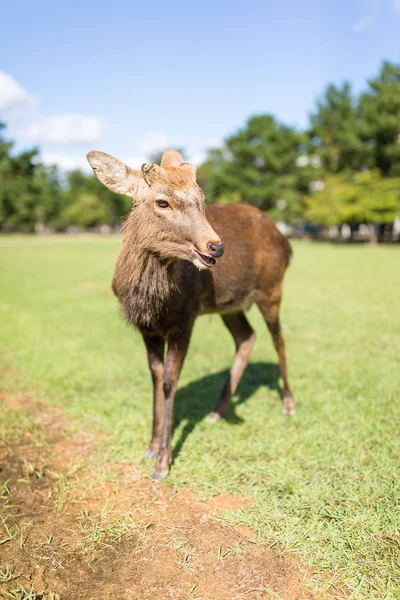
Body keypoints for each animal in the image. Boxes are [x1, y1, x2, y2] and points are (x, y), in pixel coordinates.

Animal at [86, 148, 294, 480]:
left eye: (202, 199)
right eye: (162, 201)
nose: (216, 246)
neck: (152, 301)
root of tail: (287, 242)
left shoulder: (185, 318)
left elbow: (171, 381)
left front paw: (163, 462)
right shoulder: (147, 328)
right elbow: (156, 377)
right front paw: (151, 447)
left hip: (272, 288)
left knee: (279, 339)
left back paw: (288, 404)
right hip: (230, 304)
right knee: (247, 337)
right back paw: (216, 412)